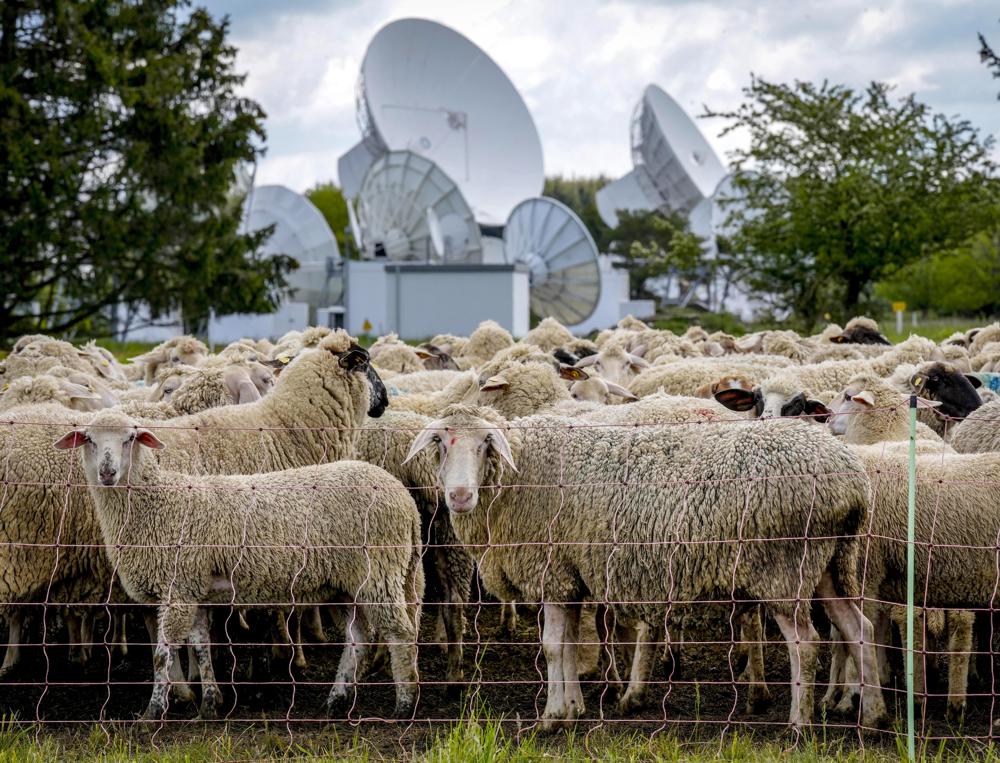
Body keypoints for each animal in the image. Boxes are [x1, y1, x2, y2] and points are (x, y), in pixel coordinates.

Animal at [402, 402, 888, 732]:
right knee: (859, 628)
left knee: (806, 643)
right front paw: (574, 709)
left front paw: (552, 717)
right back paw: (875, 716)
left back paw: (799, 725)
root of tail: (851, 479)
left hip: (783, 567)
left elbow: (554, 648)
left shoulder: (552, 572)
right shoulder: (569, 576)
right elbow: (570, 646)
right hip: (831, 563)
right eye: (440, 443)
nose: (459, 496)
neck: (521, 477)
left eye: (486, 445)